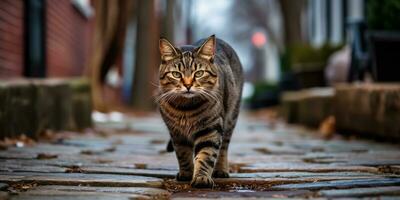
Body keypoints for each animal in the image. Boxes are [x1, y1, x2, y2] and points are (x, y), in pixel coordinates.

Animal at [156, 34, 244, 188]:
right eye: (176, 74)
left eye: (199, 73)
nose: (188, 85)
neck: (185, 108)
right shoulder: (176, 133)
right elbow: (182, 154)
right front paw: (186, 174)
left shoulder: (210, 129)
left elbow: (206, 155)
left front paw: (201, 178)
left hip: (231, 117)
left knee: (224, 147)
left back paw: (221, 170)